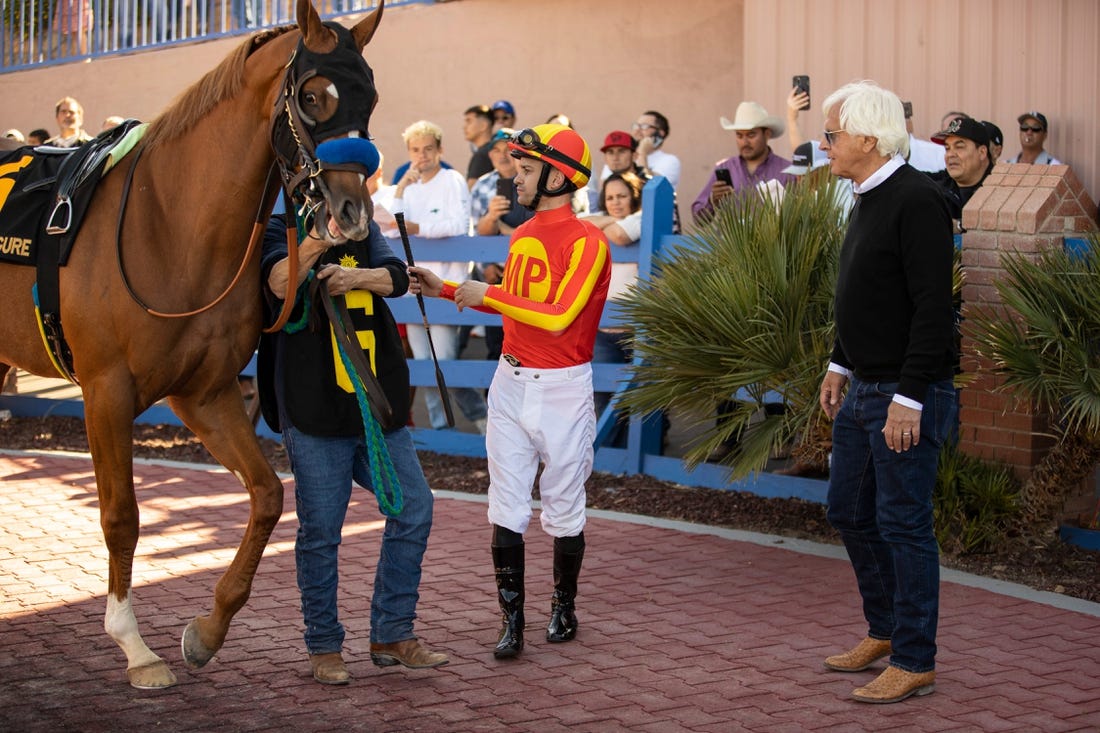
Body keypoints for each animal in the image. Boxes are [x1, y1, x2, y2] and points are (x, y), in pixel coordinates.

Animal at [0, 0, 387, 686]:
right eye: (313, 95)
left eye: (369, 96)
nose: (351, 213)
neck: (167, 224)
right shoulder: (106, 392)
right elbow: (122, 516)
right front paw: (134, 646)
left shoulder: (204, 393)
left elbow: (268, 496)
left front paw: (207, 630)